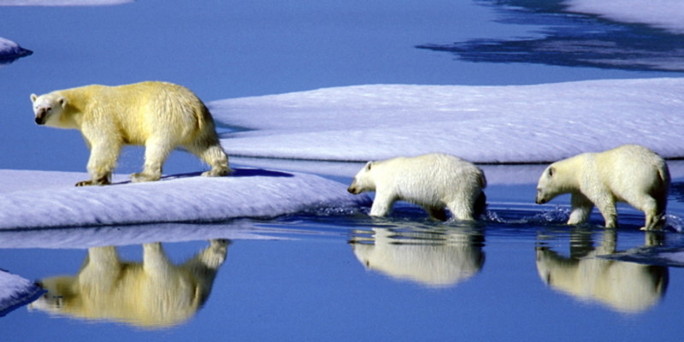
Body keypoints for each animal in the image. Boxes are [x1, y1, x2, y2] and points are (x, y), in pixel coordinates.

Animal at [29, 239, 228, 328]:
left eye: (44, 296)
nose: (36, 282)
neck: (81, 302)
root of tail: (192, 299)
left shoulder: (95, 289)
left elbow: (104, 264)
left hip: (161, 292)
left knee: (156, 265)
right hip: (197, 284)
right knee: (202, 266)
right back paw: (218, 248)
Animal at [30, 81, 230, 186]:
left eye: (48, 108)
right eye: (36, 107)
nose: (38, 120)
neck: (81, 104)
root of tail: (194, 106)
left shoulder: (98, 115)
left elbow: (105, 143)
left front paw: (90, 180)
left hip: (164, 117)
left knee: (156, 146)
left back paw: (142, 175)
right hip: (202, 125)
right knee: (205, 144)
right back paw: (215, 170)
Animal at [348, 153, 486, 222]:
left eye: (354, 178)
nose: (350, 189)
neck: (381, 170)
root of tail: (478, 173)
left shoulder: (388, 184)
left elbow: (381, 204)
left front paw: (372, 215)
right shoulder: (430, 195)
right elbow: (434, 208)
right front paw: (438, 218)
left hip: (458, 187)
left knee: (461, 207)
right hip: (472, 188)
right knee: (480, 200)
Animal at [536, 144, 668, 230]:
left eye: (539, 188)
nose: (537, 201)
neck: (576, 171)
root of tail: (657, 165)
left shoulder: (591, 179)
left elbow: (603, 200)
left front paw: (609, 224)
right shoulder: (581, 189)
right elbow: (580, 207)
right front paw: (570, 223)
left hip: (635, 178)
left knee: (638, 196)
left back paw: (647, 224)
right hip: (662, 183)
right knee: (661, 200)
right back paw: (658, 222)